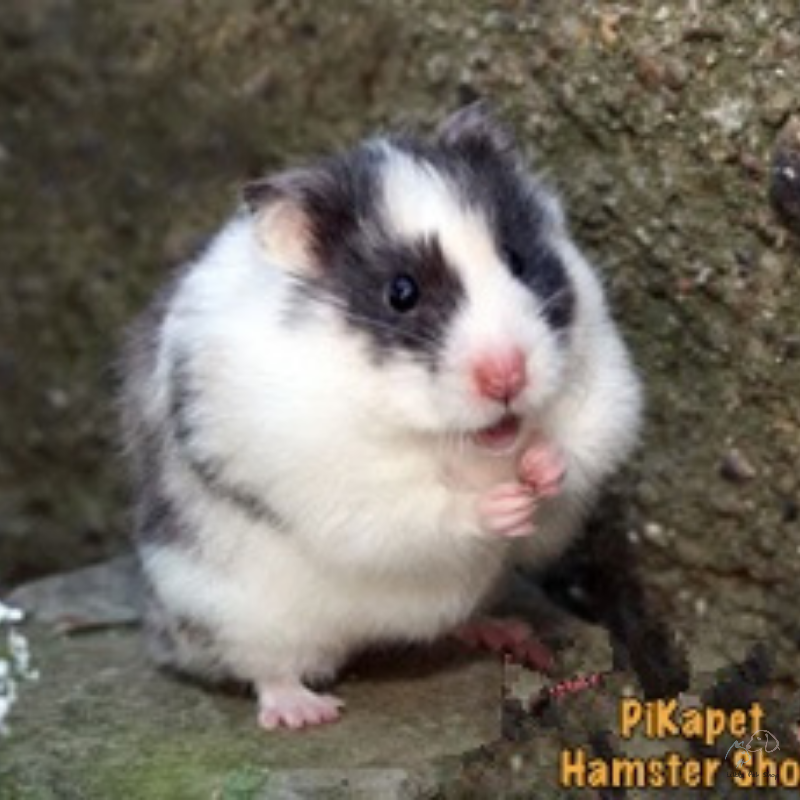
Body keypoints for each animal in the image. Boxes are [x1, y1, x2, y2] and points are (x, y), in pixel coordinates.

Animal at [120, 105, 642, 730]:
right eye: (401, 293)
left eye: (517, 261)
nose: (507, 377)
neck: (466, 444)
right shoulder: (345, 483)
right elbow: (425, 508)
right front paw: (505, 504)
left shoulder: (606, 390)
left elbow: (576, 446)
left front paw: (539, 470)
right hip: (227, 606)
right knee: (265, 667)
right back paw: (305, 713)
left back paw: (511, 636)